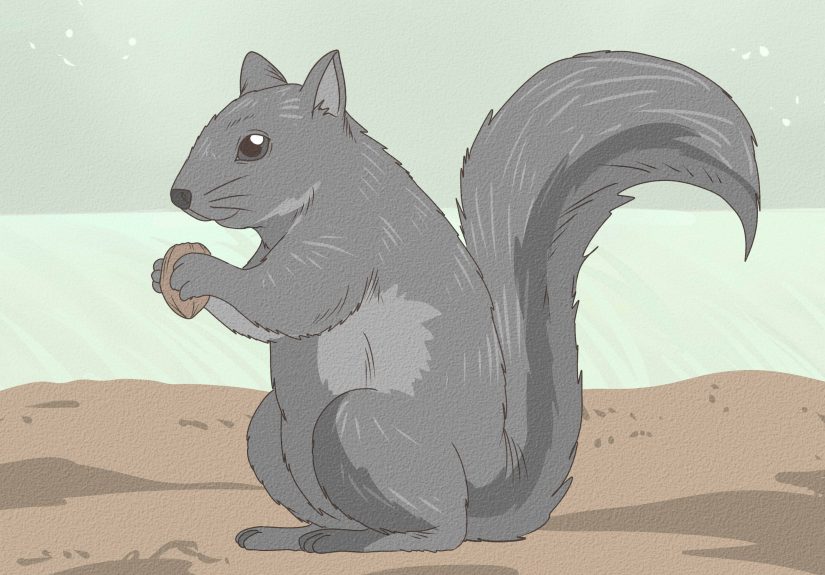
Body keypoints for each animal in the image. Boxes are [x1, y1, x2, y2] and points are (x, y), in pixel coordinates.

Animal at [151, 49, 760, 553]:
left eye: (255, 145)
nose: (179, 195)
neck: (320, 190)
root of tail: (487, 498)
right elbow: (263, 319)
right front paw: (165, 271)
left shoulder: (349, 240)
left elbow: (294, 299)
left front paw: (202, 268)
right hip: (270, 432)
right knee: (349, 517)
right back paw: (293, 536)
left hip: (366, 426)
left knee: (442, 532)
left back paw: (380, 543)